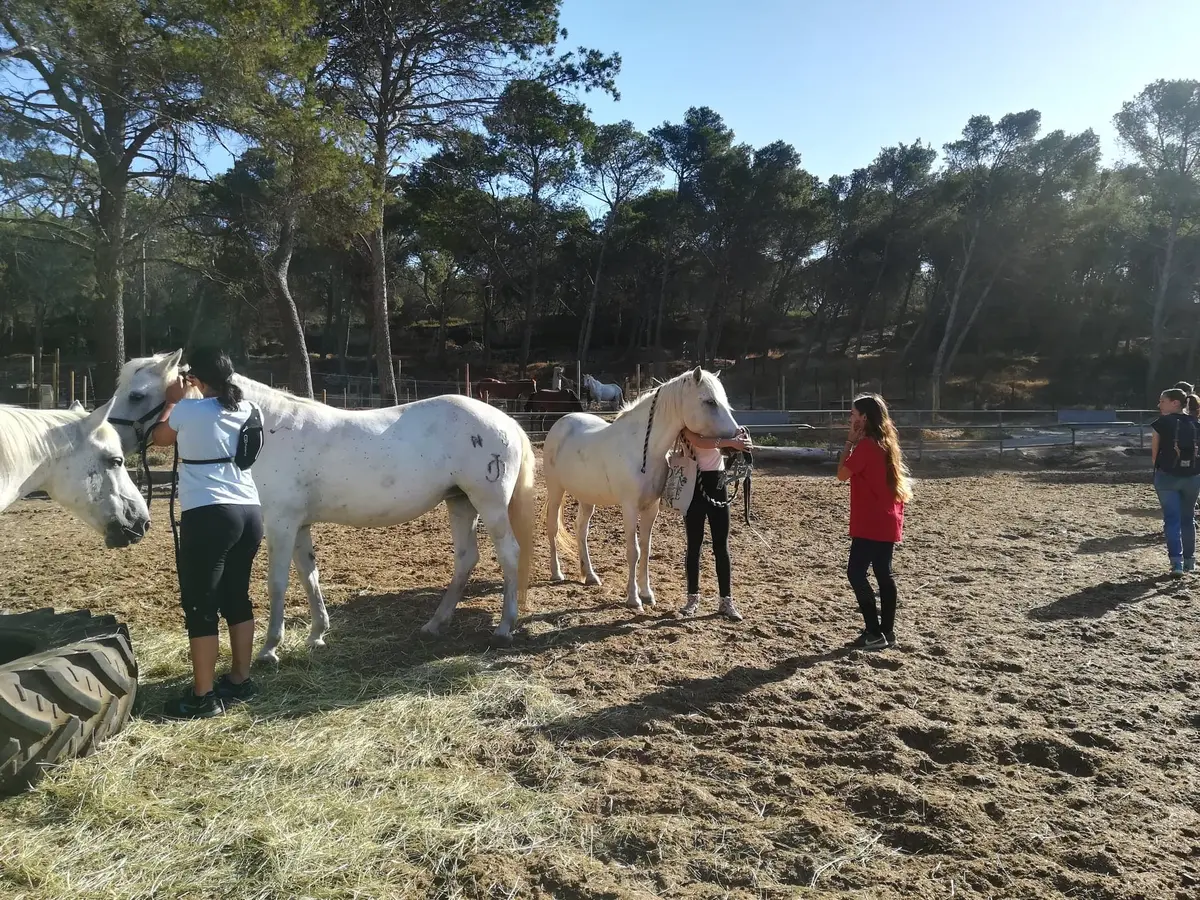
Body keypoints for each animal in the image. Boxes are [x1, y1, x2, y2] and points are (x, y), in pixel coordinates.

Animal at [106, 351, 538, 661]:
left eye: (137, 394)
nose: (111, 443)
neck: (263, 429)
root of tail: (506, 422)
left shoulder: (280, 523)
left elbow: (278, 583)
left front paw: (270, 648)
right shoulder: (298, 525)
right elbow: (308, 576)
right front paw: (317, 635)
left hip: (489, 505)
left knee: (510, 554)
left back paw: (504, 628)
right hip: (460, 503)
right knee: (467, 558)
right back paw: (435, 624)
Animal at [542, 367, 739, 610]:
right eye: (710, 401)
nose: (736, 443)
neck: (643, 451)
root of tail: (561, 423)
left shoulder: (650, 508)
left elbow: (645, 549)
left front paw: (647, 594)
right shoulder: (629, 508)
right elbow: (633, 551)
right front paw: (633, 598)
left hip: (587, 497)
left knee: (581, 530)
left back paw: (590, 575)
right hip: (555, 490)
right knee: (552, 527)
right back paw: (556, 572)